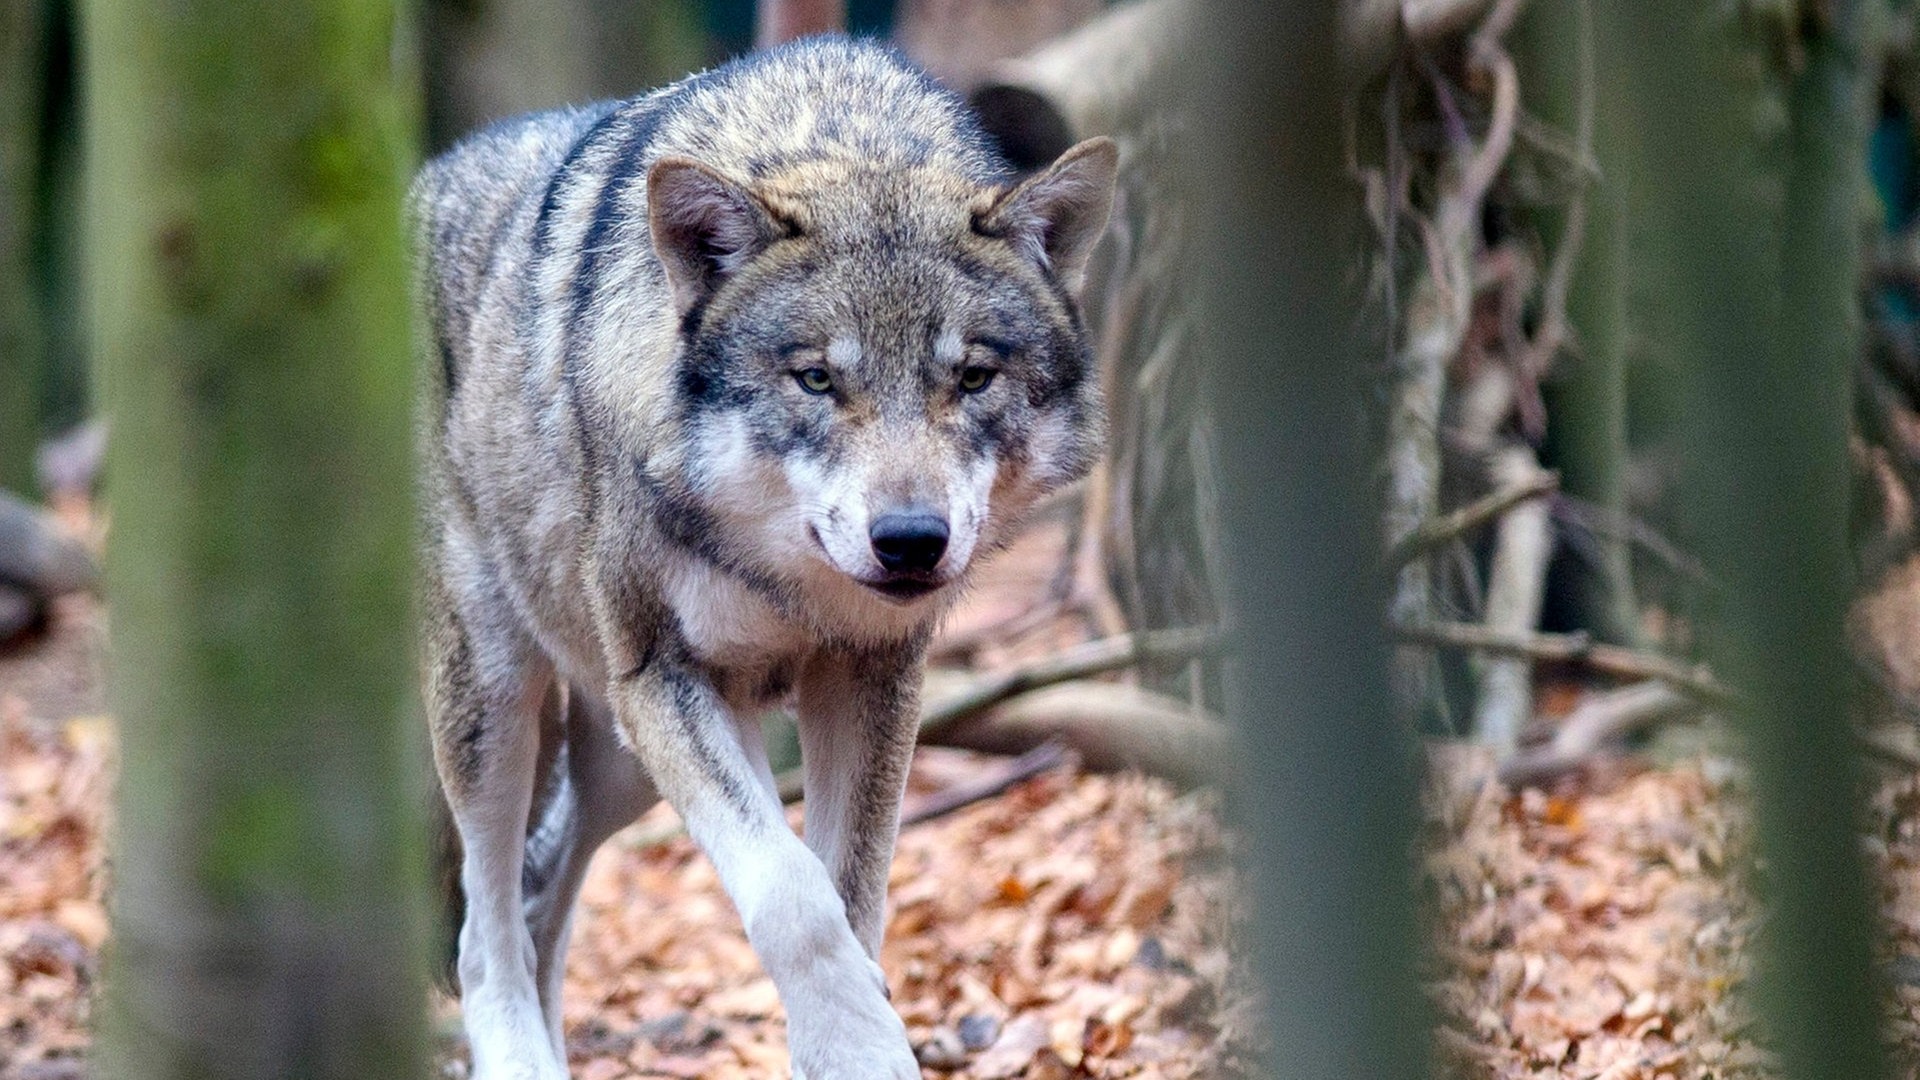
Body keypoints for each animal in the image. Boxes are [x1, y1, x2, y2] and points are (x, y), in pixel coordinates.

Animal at [412, 37, 1121, 1068]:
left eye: (972, 378)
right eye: (817, 379)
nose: (911, 543)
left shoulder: (871, 675)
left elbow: (850, 894)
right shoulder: (666, 678)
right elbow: (794, 897)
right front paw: (863, 1052)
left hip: (618, 762)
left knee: (543, 897)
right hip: (504, 702)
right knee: (484, 925)